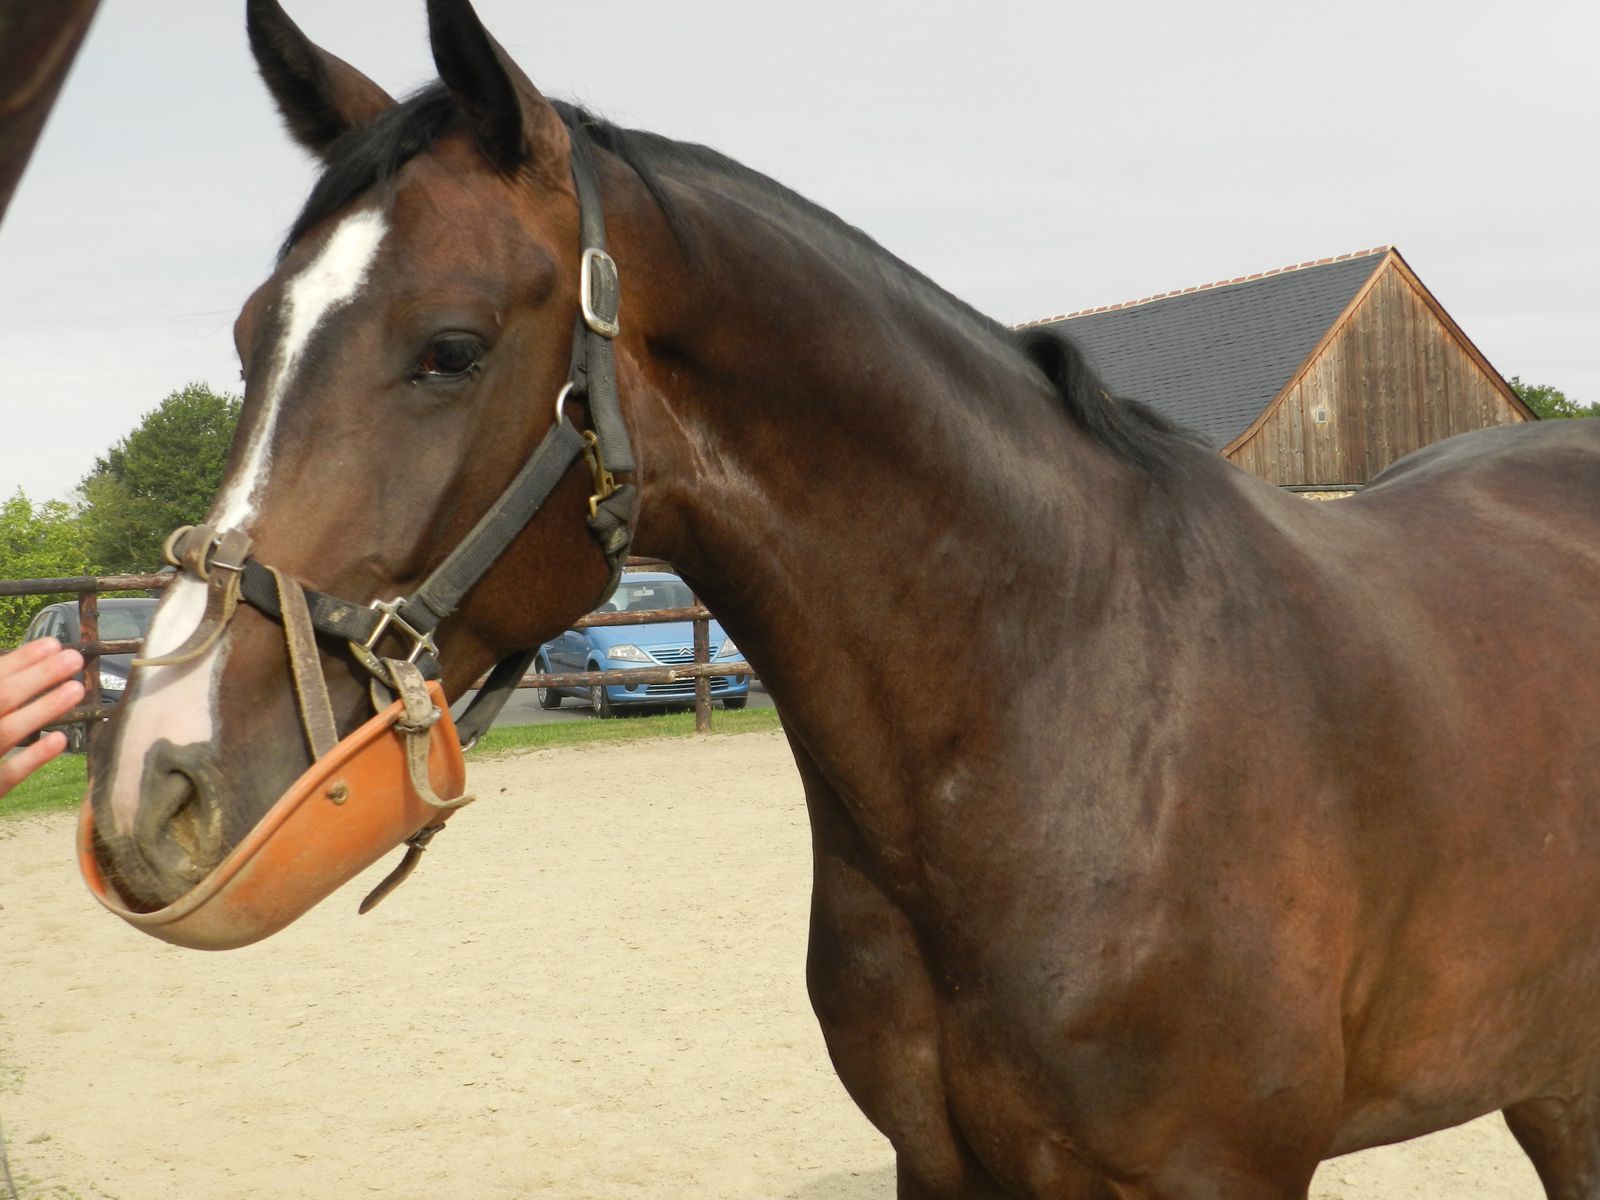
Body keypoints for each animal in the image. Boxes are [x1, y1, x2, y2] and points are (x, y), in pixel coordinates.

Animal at [84, 2, 1600, 1200]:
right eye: (250, 336)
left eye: (448, 349)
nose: (156, 786)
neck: (1080, 714)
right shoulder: (943, 1168)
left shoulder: (1215, 1174)